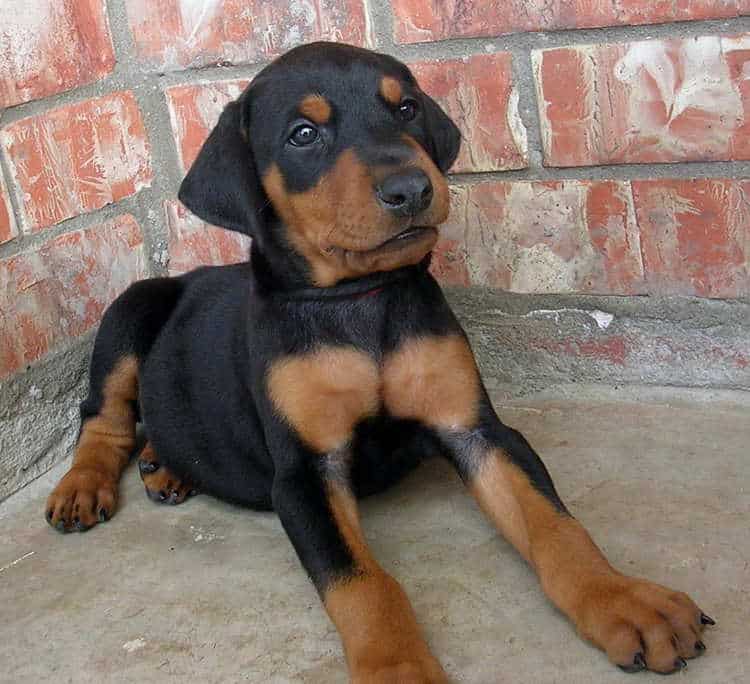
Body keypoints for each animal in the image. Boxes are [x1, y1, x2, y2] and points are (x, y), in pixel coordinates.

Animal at [44, 44, 712, 684]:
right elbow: (362, 582)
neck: (359, 299)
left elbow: (555, 524)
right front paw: (398, 668)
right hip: (131, 307)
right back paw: (85, 485)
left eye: (406, 108)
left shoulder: (475, 428)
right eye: (303, 134)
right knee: (101, 416)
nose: (411, 189)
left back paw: (167, 465)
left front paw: (622, 599)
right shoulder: (305, 472)